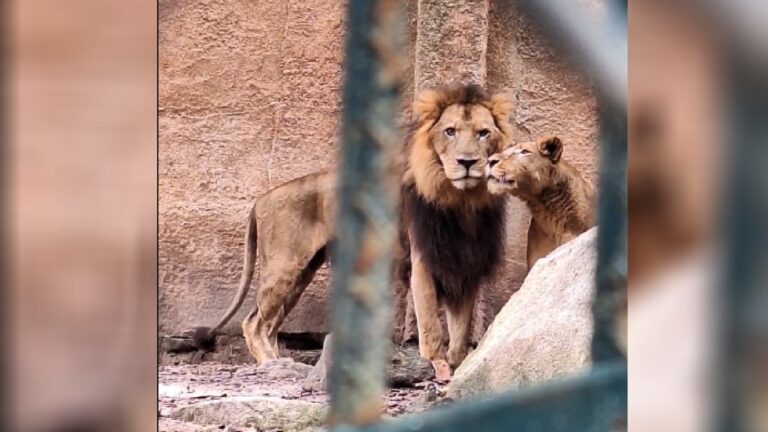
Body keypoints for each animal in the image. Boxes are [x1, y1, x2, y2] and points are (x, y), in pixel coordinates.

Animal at [193, 84, 513, 380]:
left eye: (483, 133)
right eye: (449, 131)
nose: (467, 162)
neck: (461, 202)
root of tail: (261, 199)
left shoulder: (465, 266)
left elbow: (460, 332)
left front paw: (459, 366)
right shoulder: (423, 263)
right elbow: (431, 326)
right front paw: (436, 367)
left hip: (301, 274)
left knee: (271, 324)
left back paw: (285, 363)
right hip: (283, 268)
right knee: (254, 323)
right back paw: (272, 365)